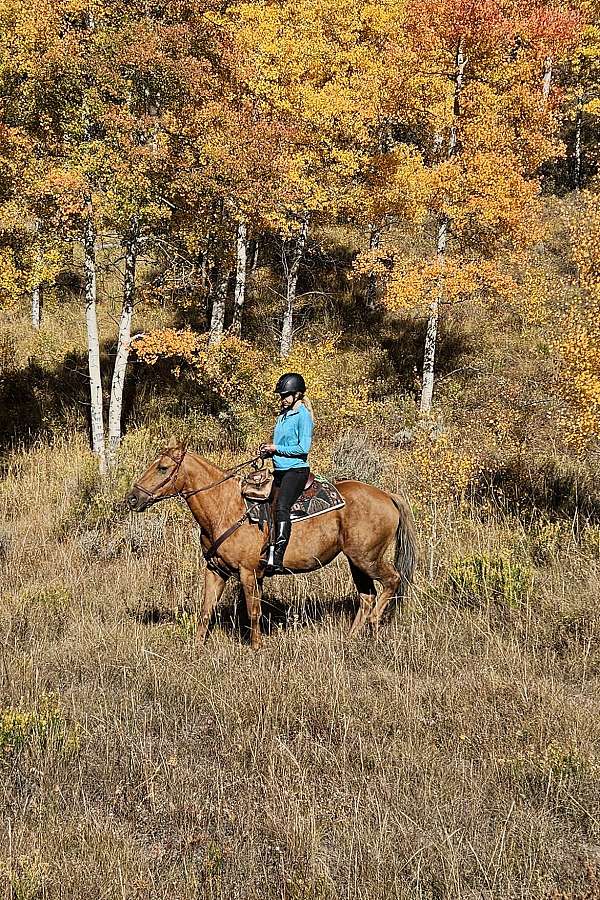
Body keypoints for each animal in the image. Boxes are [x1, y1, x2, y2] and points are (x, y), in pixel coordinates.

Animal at [127, 437, 418, 650]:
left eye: (163, 468)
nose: (132, 498)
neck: (226, 507)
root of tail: (387, 496)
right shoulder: (215, 571)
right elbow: (206, 609)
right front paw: (197, 646)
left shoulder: (248, 572)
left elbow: (253, 611)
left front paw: (256, 647)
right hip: (356, 561)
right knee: (367, 596)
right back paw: (351, 637)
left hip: (367, 558)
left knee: (392, 581)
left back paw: (374, 623)